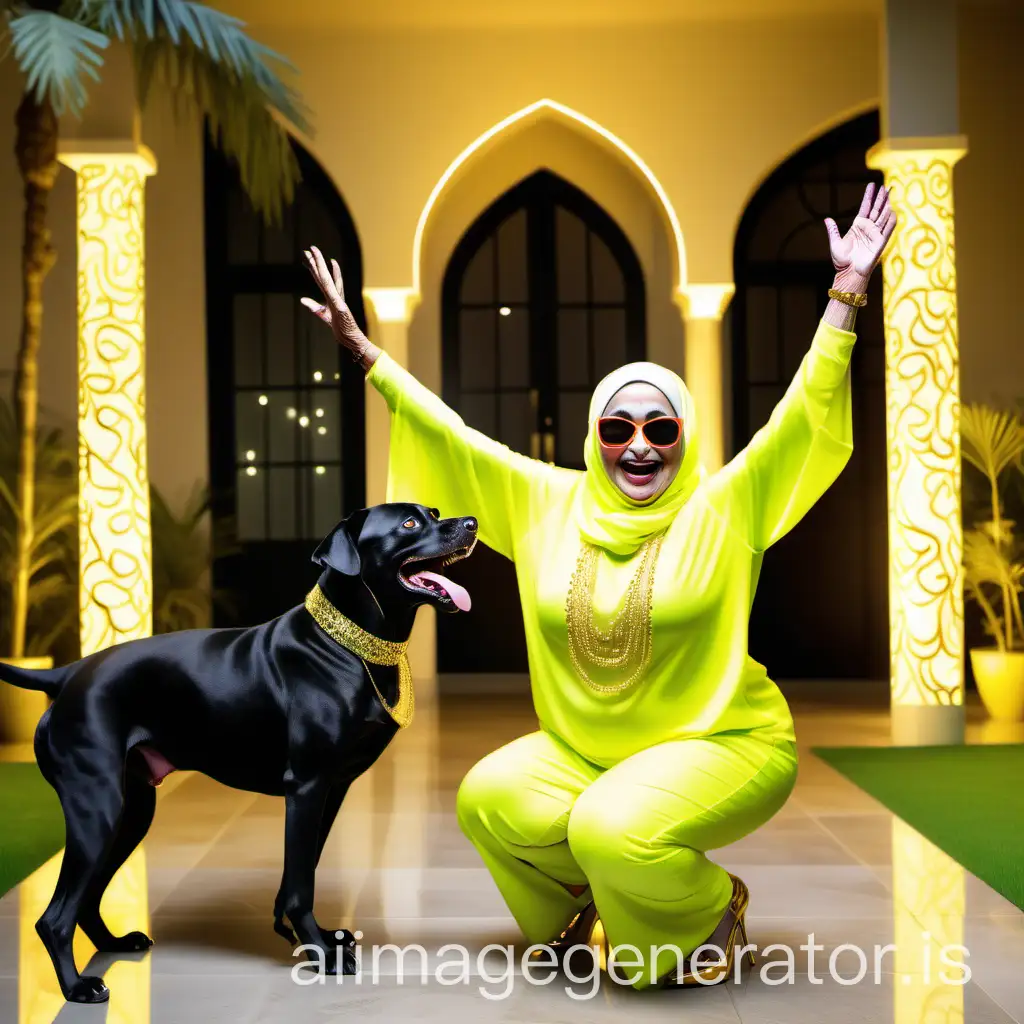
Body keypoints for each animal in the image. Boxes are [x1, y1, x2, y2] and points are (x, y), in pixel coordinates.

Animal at [0, 499, 477, 1003]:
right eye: (409, 523)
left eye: (434, 512)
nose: (471, 524)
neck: (343, 644)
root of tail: (67, 674)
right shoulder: (306, 789)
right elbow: (300, 883)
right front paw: (319, 952)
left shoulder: (331, 792)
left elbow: (299, 872)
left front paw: (311, 937)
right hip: (97, 809)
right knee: (55, 917)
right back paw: (76, 986)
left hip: (132, 812)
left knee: (87, 899)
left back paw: (114, 943)